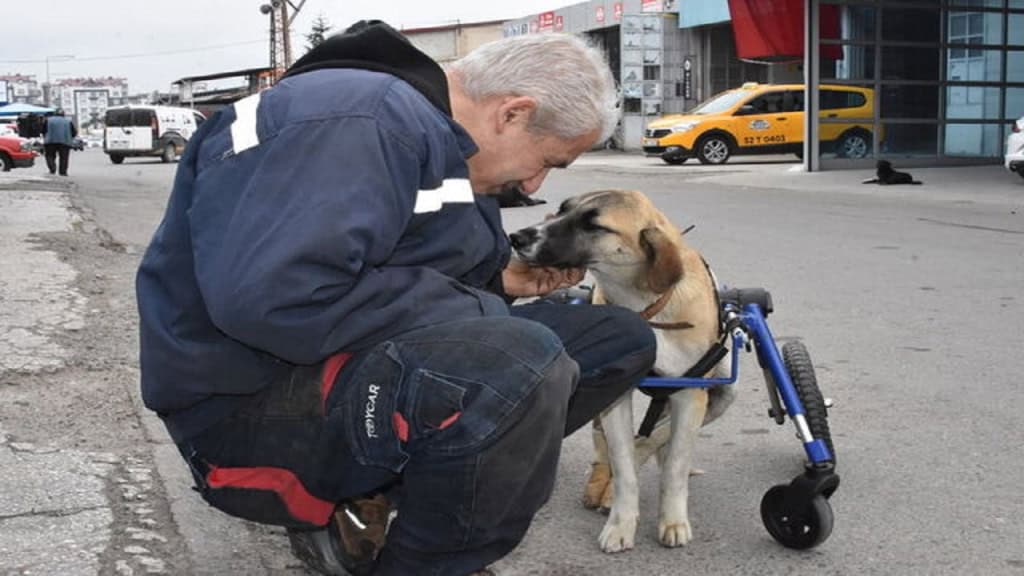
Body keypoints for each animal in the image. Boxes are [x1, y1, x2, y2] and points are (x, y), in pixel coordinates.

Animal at [512, 189, 737, 553]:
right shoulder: (617, 398)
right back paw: (602, 481)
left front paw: (673, 520)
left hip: (722, 394)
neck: (645, 306)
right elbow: (623, 463)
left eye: (594, 225)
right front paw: (620, 523)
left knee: (659, 436)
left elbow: (675, 463)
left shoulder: (690, 394)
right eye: (562, 210)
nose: (516, 237)